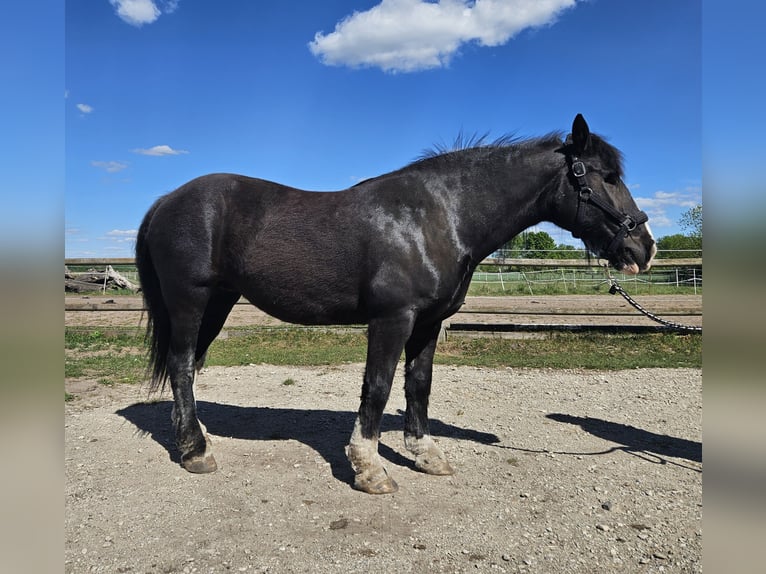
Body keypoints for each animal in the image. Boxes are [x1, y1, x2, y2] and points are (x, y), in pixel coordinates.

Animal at [135, 114, 655, 494]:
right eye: (606, 177)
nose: (644, 249)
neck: (438, 217)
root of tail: (165, 201)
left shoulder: (427, 323)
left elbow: (418, 386)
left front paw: (426, 454)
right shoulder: (392, 320)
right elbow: (379, 387)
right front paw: (369, 469)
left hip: (219, 303)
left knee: (191, 367)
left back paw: (196, 437)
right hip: (191, 302)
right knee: (181, 365)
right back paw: (196, 452)